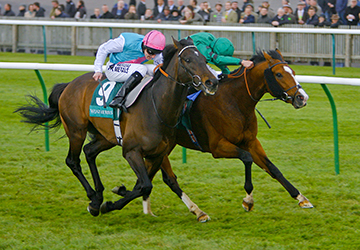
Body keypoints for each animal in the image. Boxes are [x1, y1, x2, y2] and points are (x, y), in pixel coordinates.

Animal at [15, 37, 218, 217]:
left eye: (205, 59)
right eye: (188, 59)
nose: (212, 82)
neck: (156, 107)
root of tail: (69, 85)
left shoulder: (158, 154)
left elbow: (146, 184)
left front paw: (117, 195)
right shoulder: (131, 151)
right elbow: (145, 185)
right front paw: (110, 204)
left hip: (107, 137)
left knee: (89, 152)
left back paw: (97, 198)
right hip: (76, 130)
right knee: (73, 161)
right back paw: (93, 198)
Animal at [139, 49, 314, 223]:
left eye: (293, 72)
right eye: (278, 74)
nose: (302, 97)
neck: (234, 102)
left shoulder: (251, 141)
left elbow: (273, 168)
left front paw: (301, 198)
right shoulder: (218, 147)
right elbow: (247, 158)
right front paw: (248, 201)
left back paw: (149, 209)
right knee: (166, 178)